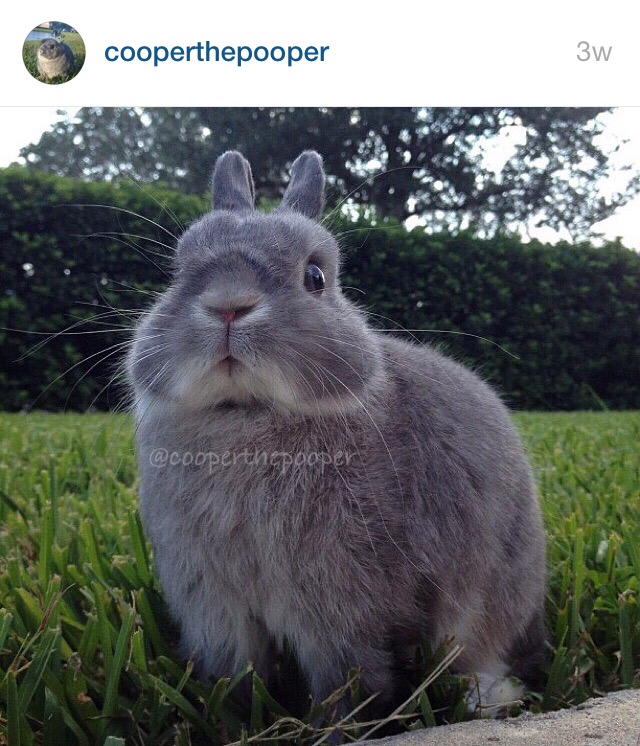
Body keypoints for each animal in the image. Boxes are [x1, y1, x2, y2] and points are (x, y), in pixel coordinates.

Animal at [127, 150, 547, 720]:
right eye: (178, 270)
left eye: (315, 275)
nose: (229, 304)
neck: (246, 415)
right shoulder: (212, 606)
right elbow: (233, 675)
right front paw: (233, 721)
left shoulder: (337, 608)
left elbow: (350, 683)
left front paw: (334, 730)